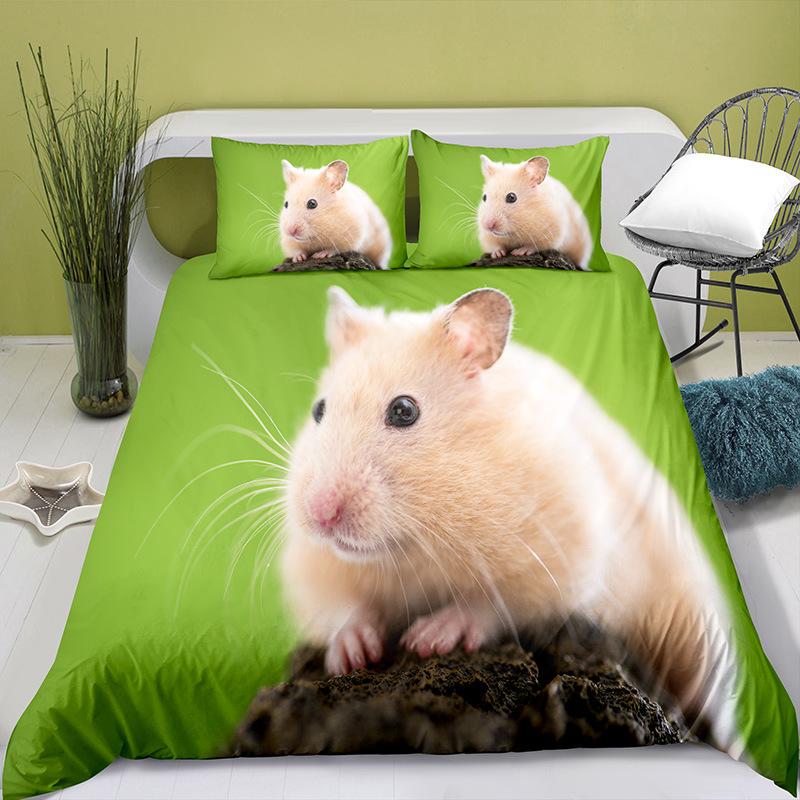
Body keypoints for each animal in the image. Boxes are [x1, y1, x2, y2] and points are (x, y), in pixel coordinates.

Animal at [280, 286, 737, 750]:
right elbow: (346, 607)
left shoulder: (561, 551)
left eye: (404, 411)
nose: (320, 513)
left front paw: (428, 639)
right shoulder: (317, 567)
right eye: (318, 410)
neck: (413, 546)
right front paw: (352, 655)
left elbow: (492, 603)